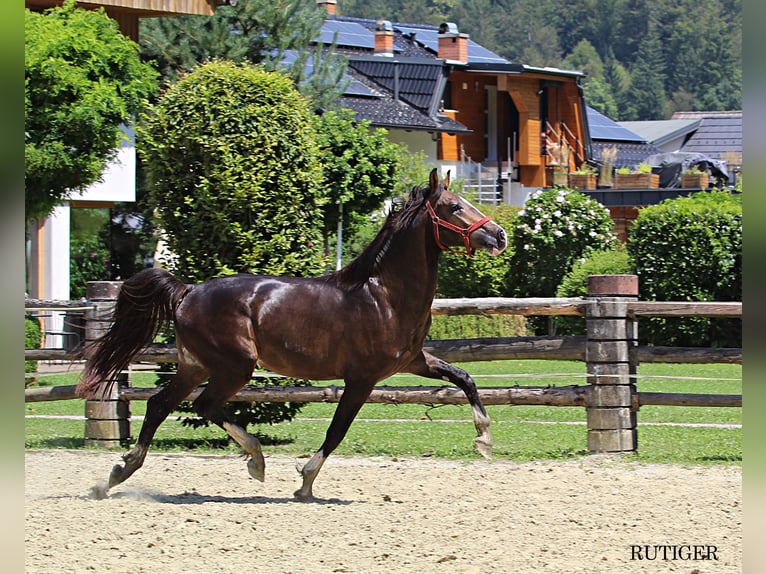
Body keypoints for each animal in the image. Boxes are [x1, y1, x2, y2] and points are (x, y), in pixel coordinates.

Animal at [76, 169, 510, 502]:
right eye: (454, 207)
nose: (499, 235)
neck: (382, 295)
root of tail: (187, 291)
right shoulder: (362, 379)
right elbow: (336, 431)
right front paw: (305, 483)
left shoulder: (414, 361)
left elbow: (464, 379)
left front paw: (484, 441)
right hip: (234, 366)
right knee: (204, 405)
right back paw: (255, 460)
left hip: (194, 365)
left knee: (159, 405)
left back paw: (116, 475)